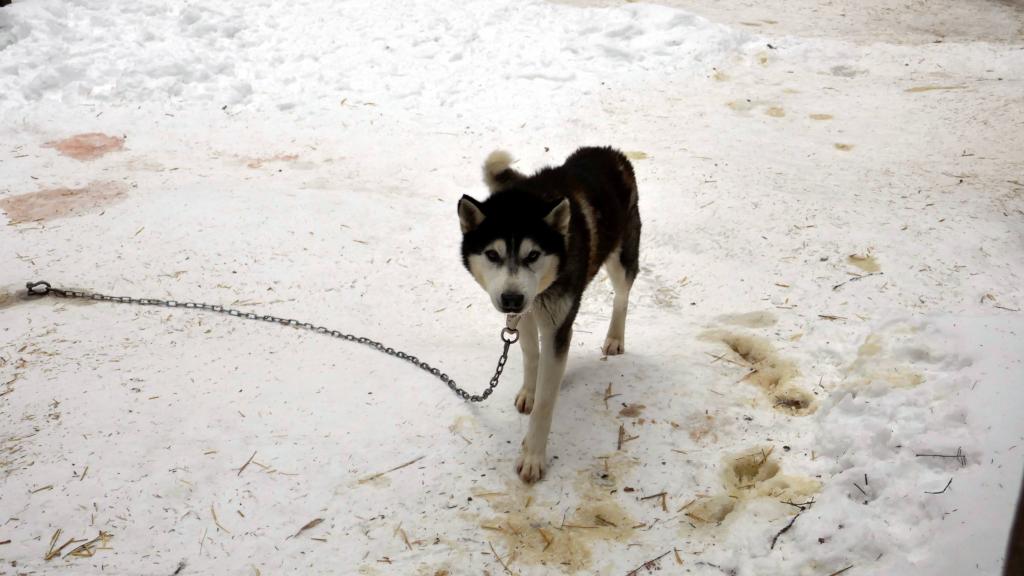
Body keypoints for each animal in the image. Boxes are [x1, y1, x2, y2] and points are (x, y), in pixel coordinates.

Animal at [458, 146, 638, 479]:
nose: (511, 298)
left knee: (622, 296)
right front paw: (530, 390)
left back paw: (615, 338)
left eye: (533, 255)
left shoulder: (557, 325)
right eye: (492, 254)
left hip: (622, 259)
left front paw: (533, 457)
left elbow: (545, 403)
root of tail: (607, 151)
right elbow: (531, 355)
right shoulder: (526, 314)